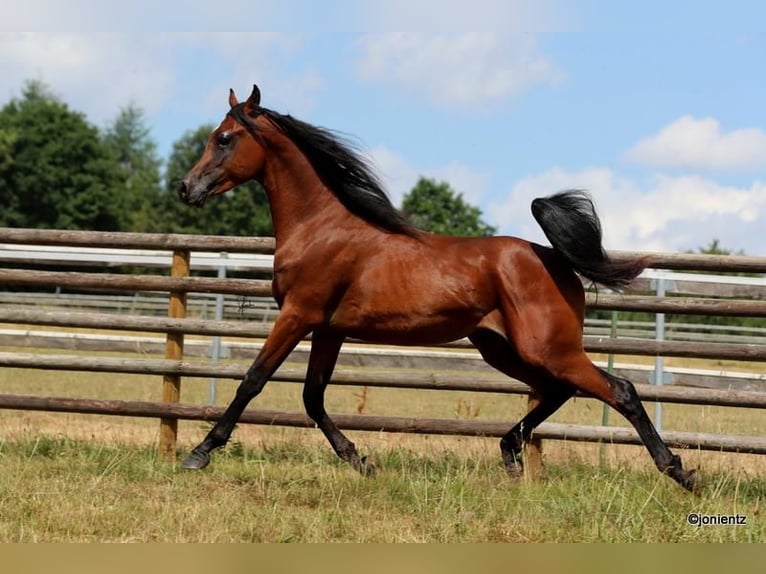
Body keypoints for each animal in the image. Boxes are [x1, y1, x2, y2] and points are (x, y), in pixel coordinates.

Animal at [177, 84, 697, 492]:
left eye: (224, 138)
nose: (186, 188)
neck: (320, 227)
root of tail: (554, 259)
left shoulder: (298, 314)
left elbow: (253, 380)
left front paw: (199, 453)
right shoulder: (329, 329)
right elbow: (313, 397)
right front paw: (362, 462)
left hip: (547, 347)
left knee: (619, 389)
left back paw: (680, 472)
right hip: (503, 347)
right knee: (557, 391)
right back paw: (509, 453)